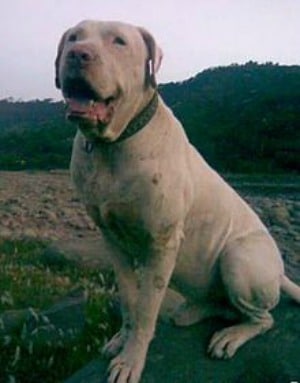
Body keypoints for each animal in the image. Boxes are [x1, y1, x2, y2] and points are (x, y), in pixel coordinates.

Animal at [55, 20, 298, 383]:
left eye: (119, 41)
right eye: (73, 37)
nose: (77, 54)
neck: (114, 144)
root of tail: (281, 274)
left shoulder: (161, 242)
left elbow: (146, 309)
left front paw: (131, 361)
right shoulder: (112, 240)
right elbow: (129, 299)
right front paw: (121, 340)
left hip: (239, 259)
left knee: (263, 318)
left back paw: (230, 336)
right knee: (225, 305)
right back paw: (192, 312)